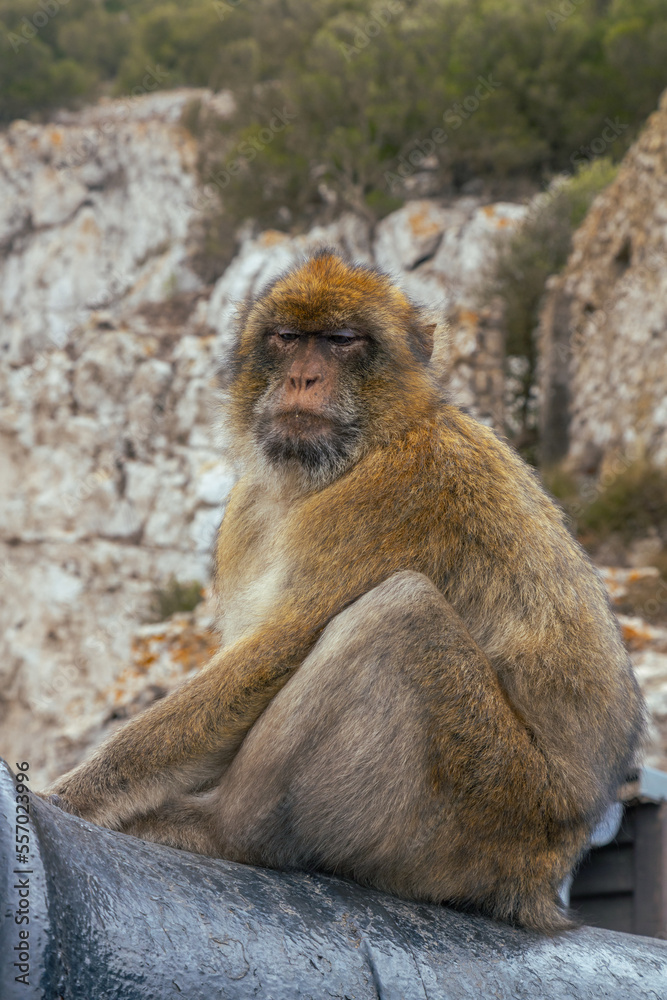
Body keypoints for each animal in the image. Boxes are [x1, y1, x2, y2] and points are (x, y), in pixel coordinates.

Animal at [43, 250, 645, 933]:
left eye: (341, 341)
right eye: (287, 337)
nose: (303, 379)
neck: (360, 450)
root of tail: (544, 881)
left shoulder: (393, 497)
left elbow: (276, 648)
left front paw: (71, 797)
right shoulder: (249, 509)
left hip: (489, 809)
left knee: (399, 614)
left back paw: (222, 829)